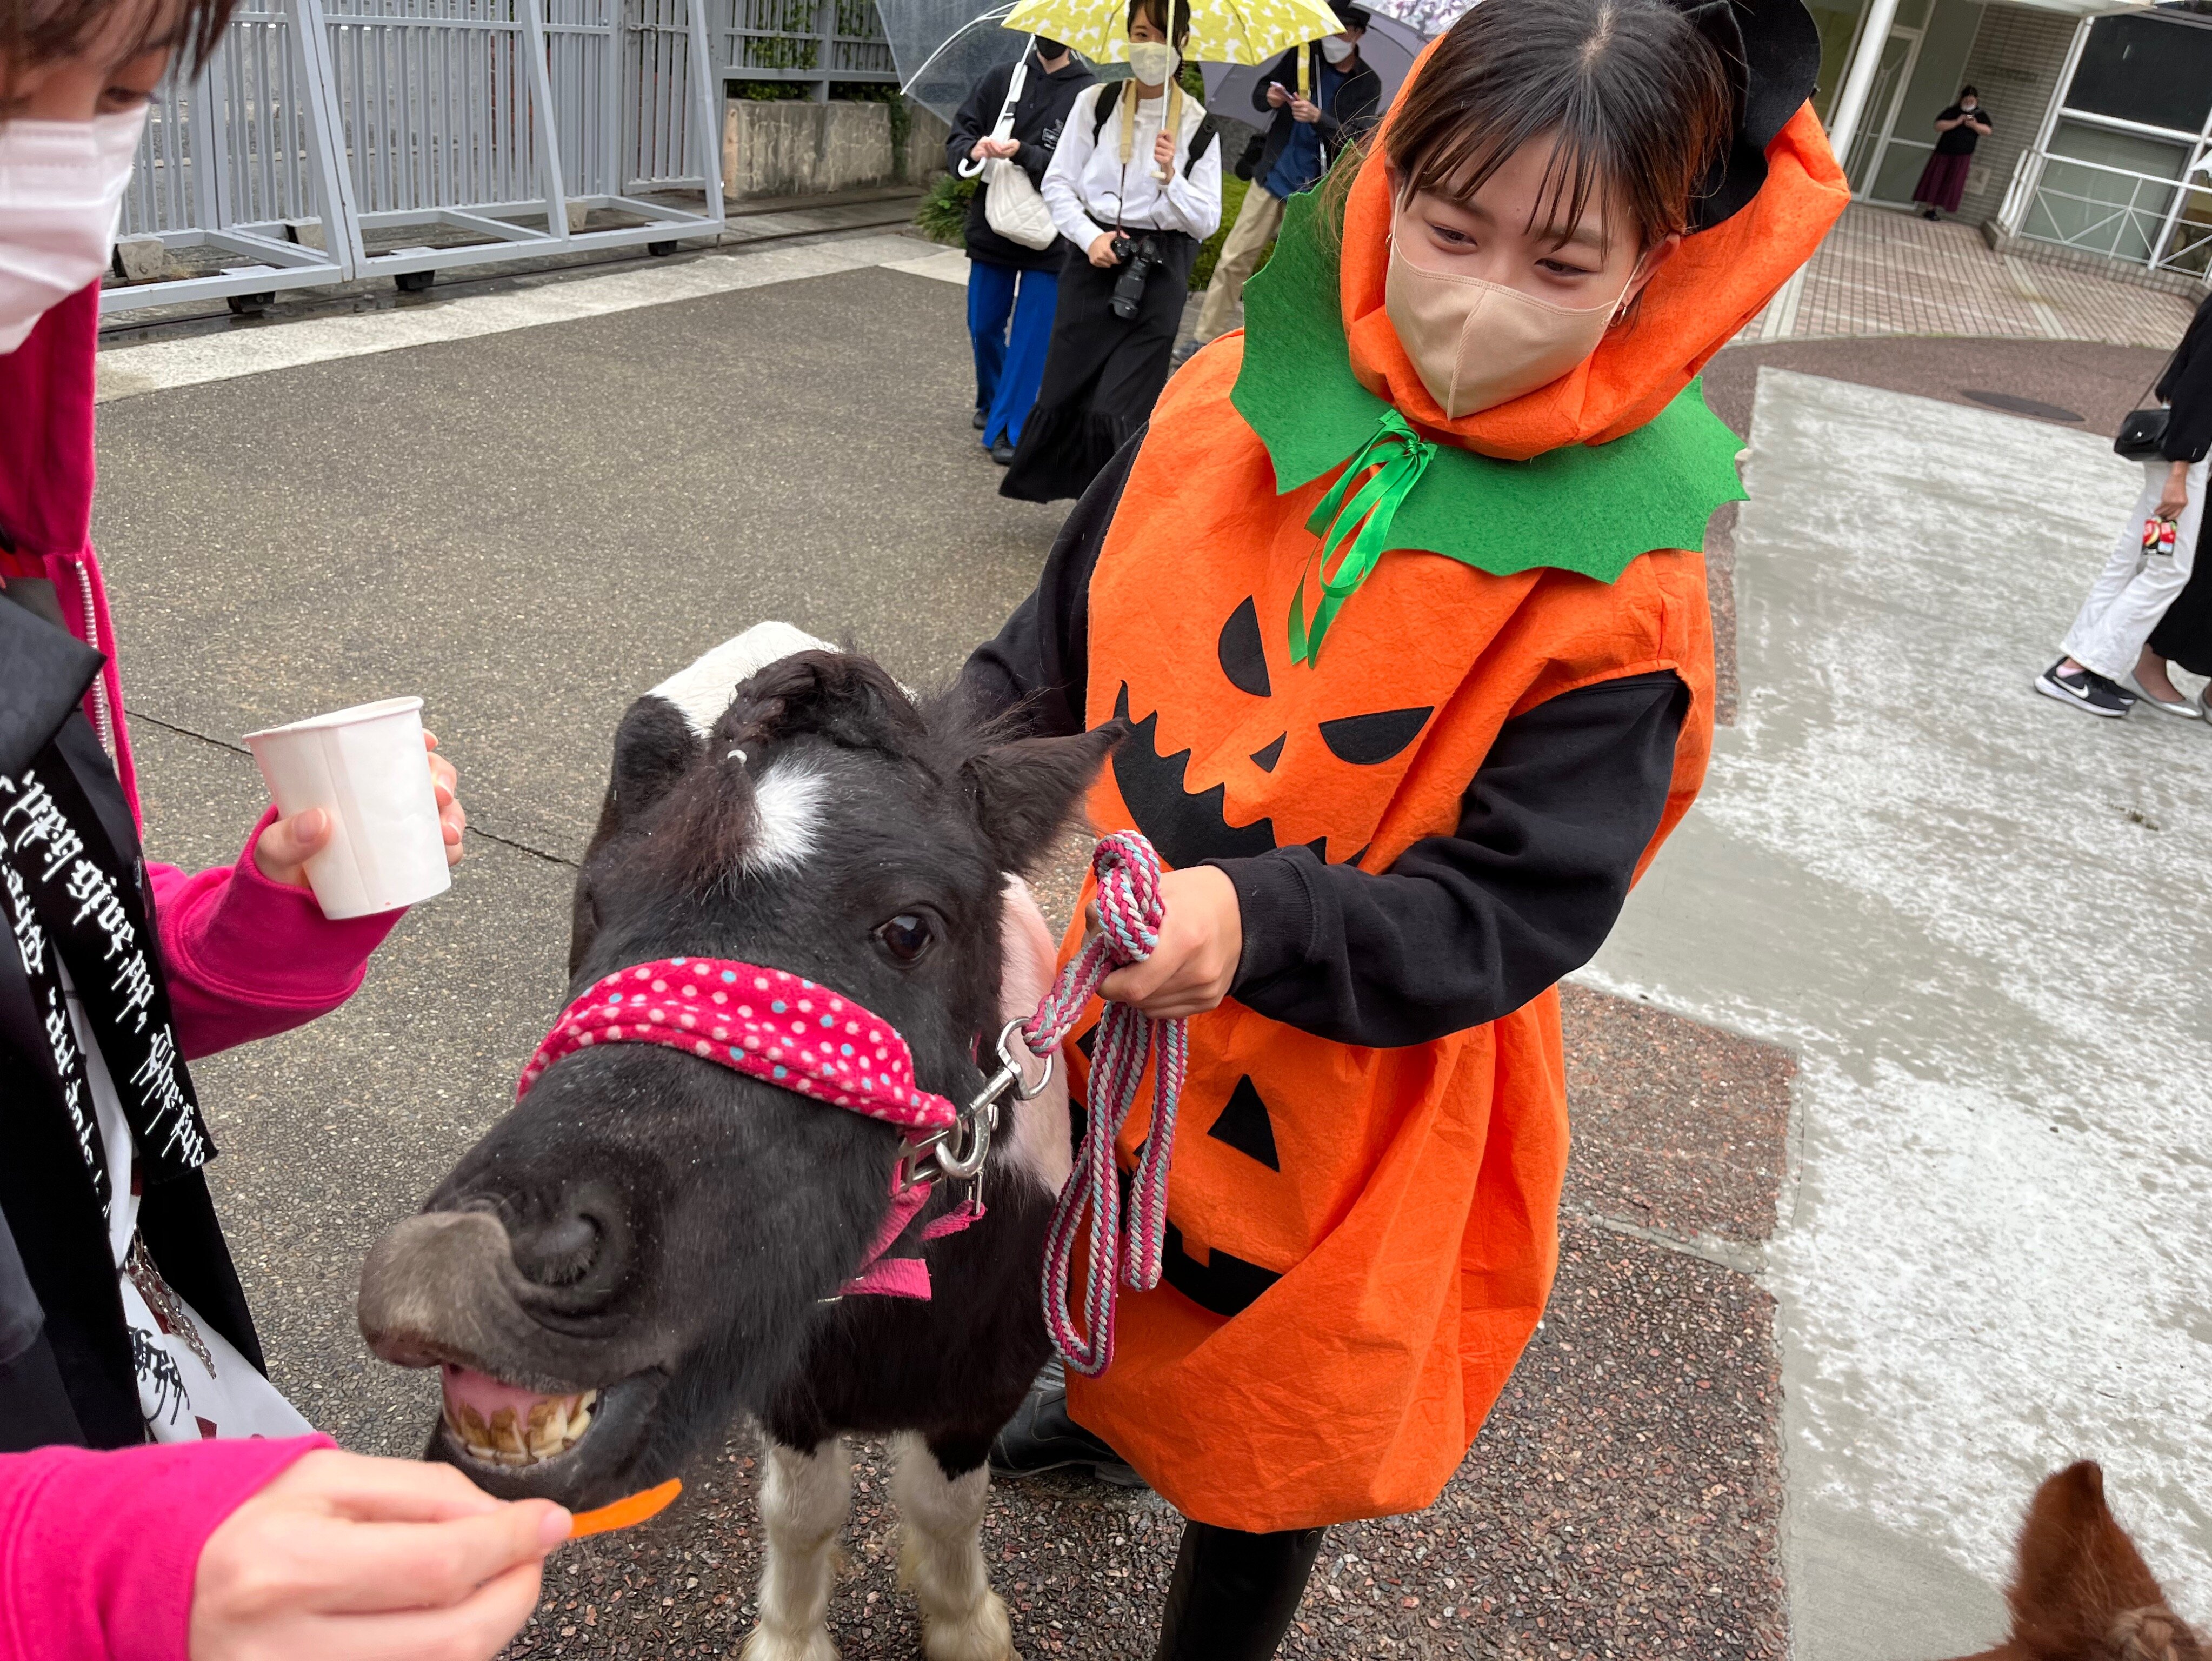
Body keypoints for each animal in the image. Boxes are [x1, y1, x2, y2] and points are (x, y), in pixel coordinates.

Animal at [367, 628, 1123, 1654]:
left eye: (909, 927)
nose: (452, 1268)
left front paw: (965, 1624)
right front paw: (794, 1637)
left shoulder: (980, 1390)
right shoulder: (794, 1396)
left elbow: (944, 1508)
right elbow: (804, 1513)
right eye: (596, 904)